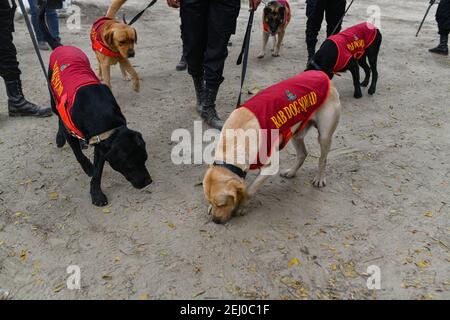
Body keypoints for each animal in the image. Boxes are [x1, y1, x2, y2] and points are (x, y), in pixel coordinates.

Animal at [39, 6, 151, 206]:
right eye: (129, 165)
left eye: (144, 159)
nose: (148, 181)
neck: (99, 112)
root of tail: (61, 47)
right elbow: (79, 156)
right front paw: (87, 168)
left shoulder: (101, 143)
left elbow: (98, 171)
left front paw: (96, 192)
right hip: (54, 99)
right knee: (59, 117)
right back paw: (60, 138)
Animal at [202, 71, 340, 224]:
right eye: (210, 201)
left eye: (222, 204)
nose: (216, 221)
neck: (234, 142)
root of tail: (323, 75)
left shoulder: (270, 166)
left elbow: (249, 190)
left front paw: (243, 206)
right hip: (295, 134)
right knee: (303, 154)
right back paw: (291, 172)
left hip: (324, 135)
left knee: (323, 159)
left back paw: (319, 178)